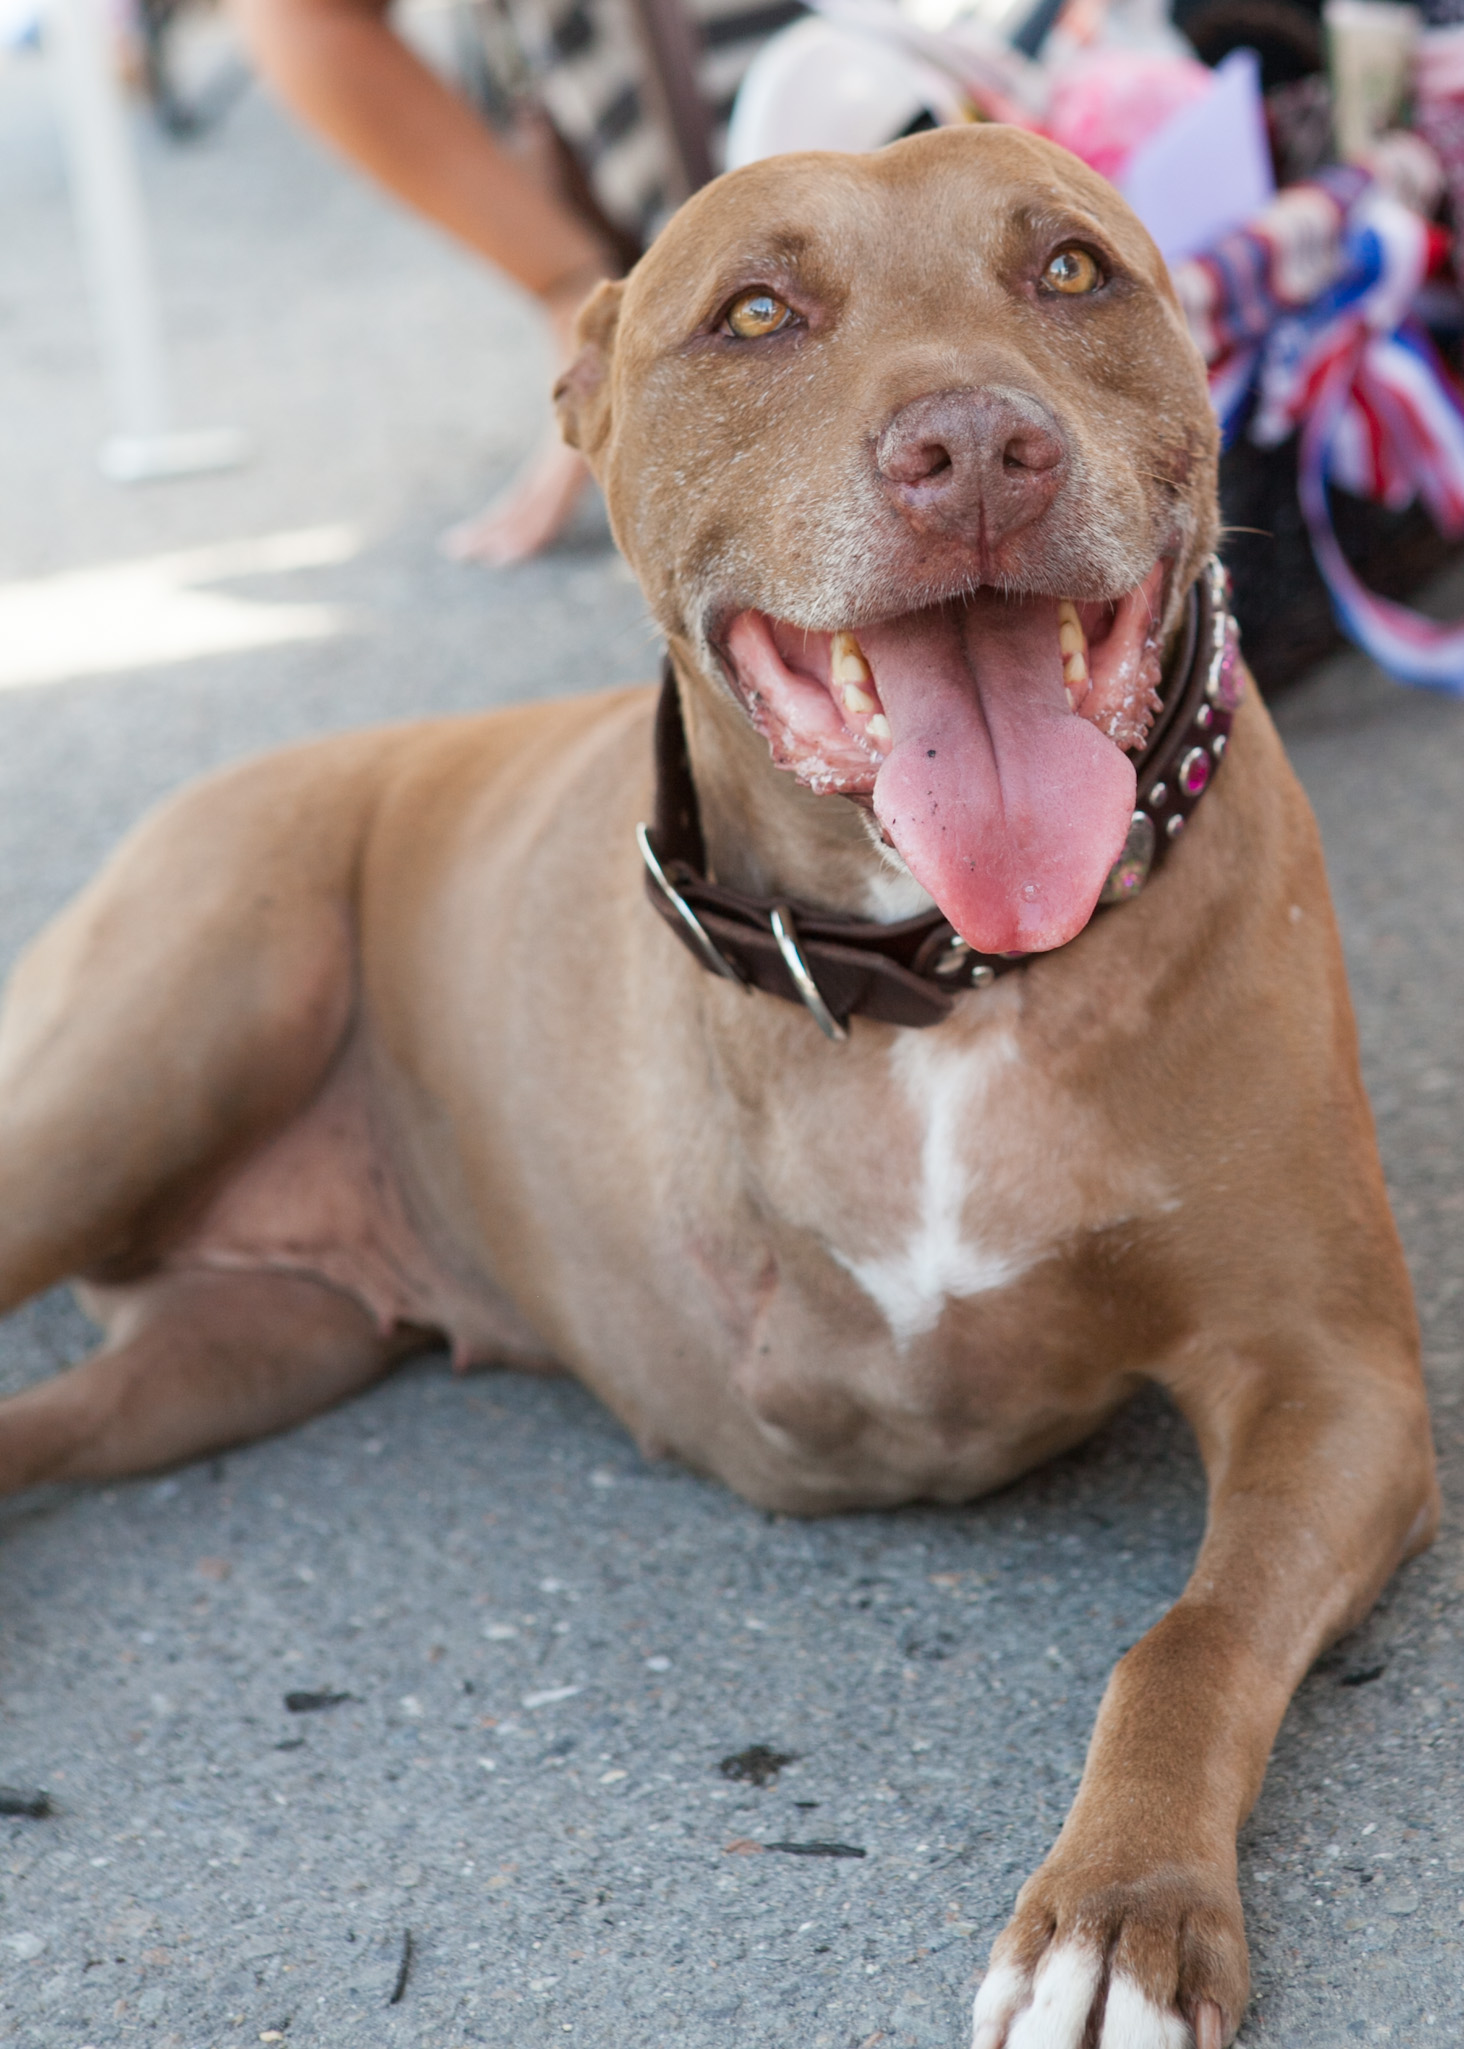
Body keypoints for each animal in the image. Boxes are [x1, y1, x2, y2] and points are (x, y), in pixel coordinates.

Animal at [0, 127, 1437, 2048]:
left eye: (1069, 269)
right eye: (754, 314)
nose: (973, 448)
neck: (932, 974)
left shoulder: (1330, 1377)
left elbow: (1187, 1632)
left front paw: (1121, 1909)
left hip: (238, 1352)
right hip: (151, 1049)